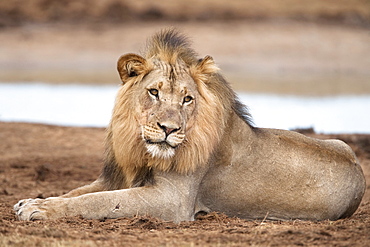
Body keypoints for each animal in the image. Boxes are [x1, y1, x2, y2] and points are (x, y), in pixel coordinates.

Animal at [13, 29, 364, 222]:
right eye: (154, 92)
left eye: (187, 99)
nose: (168, 129)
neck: (141, 151)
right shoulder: (115, 178)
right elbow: (76, 192)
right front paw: (31, 201)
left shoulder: (173, 200)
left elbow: (96, 202)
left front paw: (39, 210)